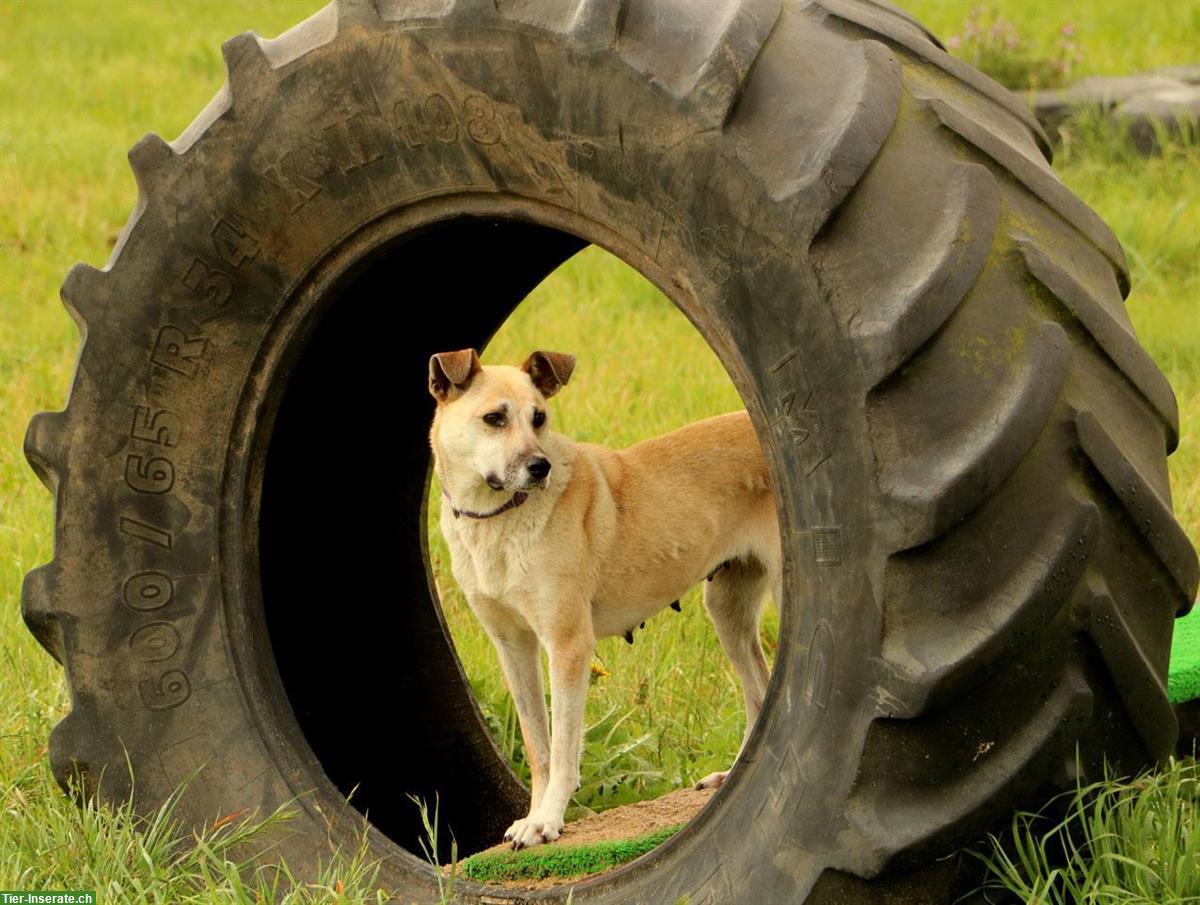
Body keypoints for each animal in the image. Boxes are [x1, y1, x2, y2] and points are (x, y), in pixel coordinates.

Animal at [427, 348, 782, 844]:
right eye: (494, 418)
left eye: (539, 418)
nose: (539, 467)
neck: (498, 518)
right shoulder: (513, 647)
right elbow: (538, 747)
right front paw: (534, 814)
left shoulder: (568, 644)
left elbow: (562, 749)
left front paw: (548, 820)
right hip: (727, 610)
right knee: (758, 693)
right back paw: (731, 776)